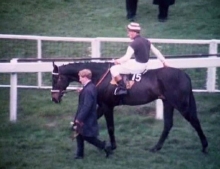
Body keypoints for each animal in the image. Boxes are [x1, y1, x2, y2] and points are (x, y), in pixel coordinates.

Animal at [51, 61, 208, 153]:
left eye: (55, 78)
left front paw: (112, 147)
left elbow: (110, 127)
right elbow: (82, 123)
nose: (54, 98)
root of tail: (185, 75)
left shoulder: (107, 106)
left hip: (181, 104)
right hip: (168, 103)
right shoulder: (101, 106)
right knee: (168, 124)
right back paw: (156, 148)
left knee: (194, 121)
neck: (101, 76)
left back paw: (205, 146)